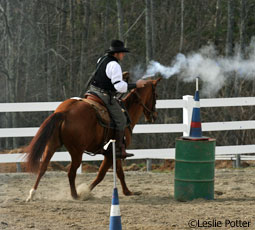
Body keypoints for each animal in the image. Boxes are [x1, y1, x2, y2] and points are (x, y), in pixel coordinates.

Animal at [25, 77, 161, 201]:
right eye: (156, 95)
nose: (154, 116)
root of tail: (64, 112)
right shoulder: (110, 154)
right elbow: (101, 174)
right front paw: (86, 191)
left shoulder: (115, 153)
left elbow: (120, 173)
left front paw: (127, 192)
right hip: (77, 152)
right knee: (71, 173)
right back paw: (75, 195)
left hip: (52, 145)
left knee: (43, 167)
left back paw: (32, 193)